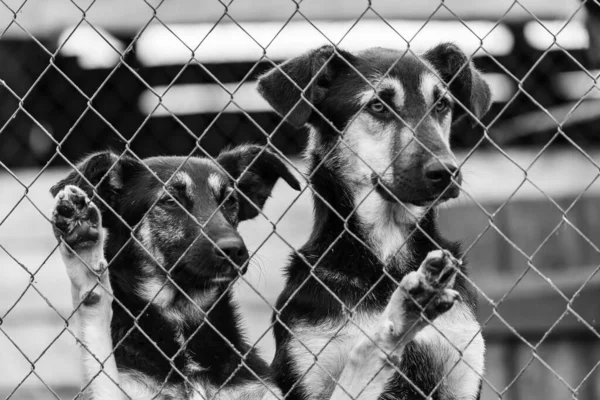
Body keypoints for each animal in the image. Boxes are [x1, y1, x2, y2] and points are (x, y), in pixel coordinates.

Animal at [51, 146, 462, 400]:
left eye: (230, 200)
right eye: (169, 201)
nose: (235, 249)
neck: (186, 332)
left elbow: (363, 360)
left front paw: (402, 317)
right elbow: (95, 311)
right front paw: (84, 250)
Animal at [258, 43, 492, 400]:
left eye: (441, 104)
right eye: (378, 106)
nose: (446, 172)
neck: (387, 258)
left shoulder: (461, 363)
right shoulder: (309, 367)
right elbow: (363, 357)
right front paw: (400, 317)